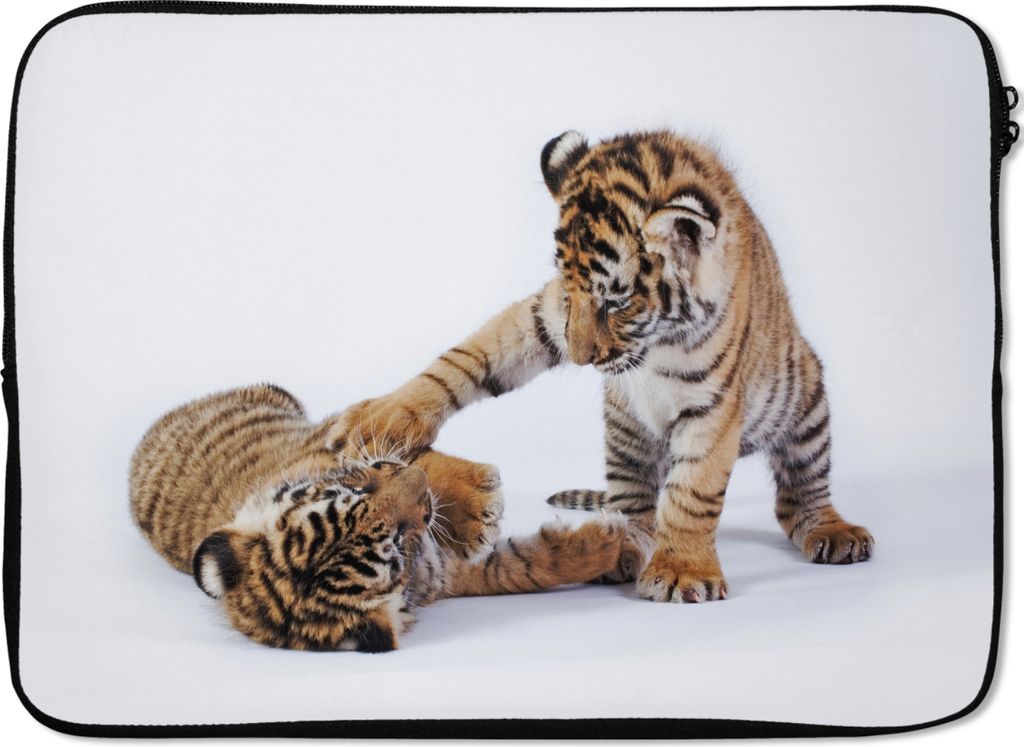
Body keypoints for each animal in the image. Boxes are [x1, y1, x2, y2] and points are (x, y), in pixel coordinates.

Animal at [129, 383, 626, 650]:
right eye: (399, 541)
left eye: (357, 490)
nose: (417, 484)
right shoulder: (448, 574)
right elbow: (528, 566)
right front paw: (615, 545)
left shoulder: (340, 450)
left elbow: (401, 450)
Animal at [333, 130, 874, 604]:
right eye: (570, 289)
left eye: (616, 301)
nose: (580, 357)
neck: (656, 343)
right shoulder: (546, 316)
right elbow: (471, 356)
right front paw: (384, 417)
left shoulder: (714, 406)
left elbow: (693, 493)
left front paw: (682, 571)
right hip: (625, 434)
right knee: (635, 503)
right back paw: (623, 548)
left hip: (806, 403)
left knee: (798, 497)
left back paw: (833, 533)